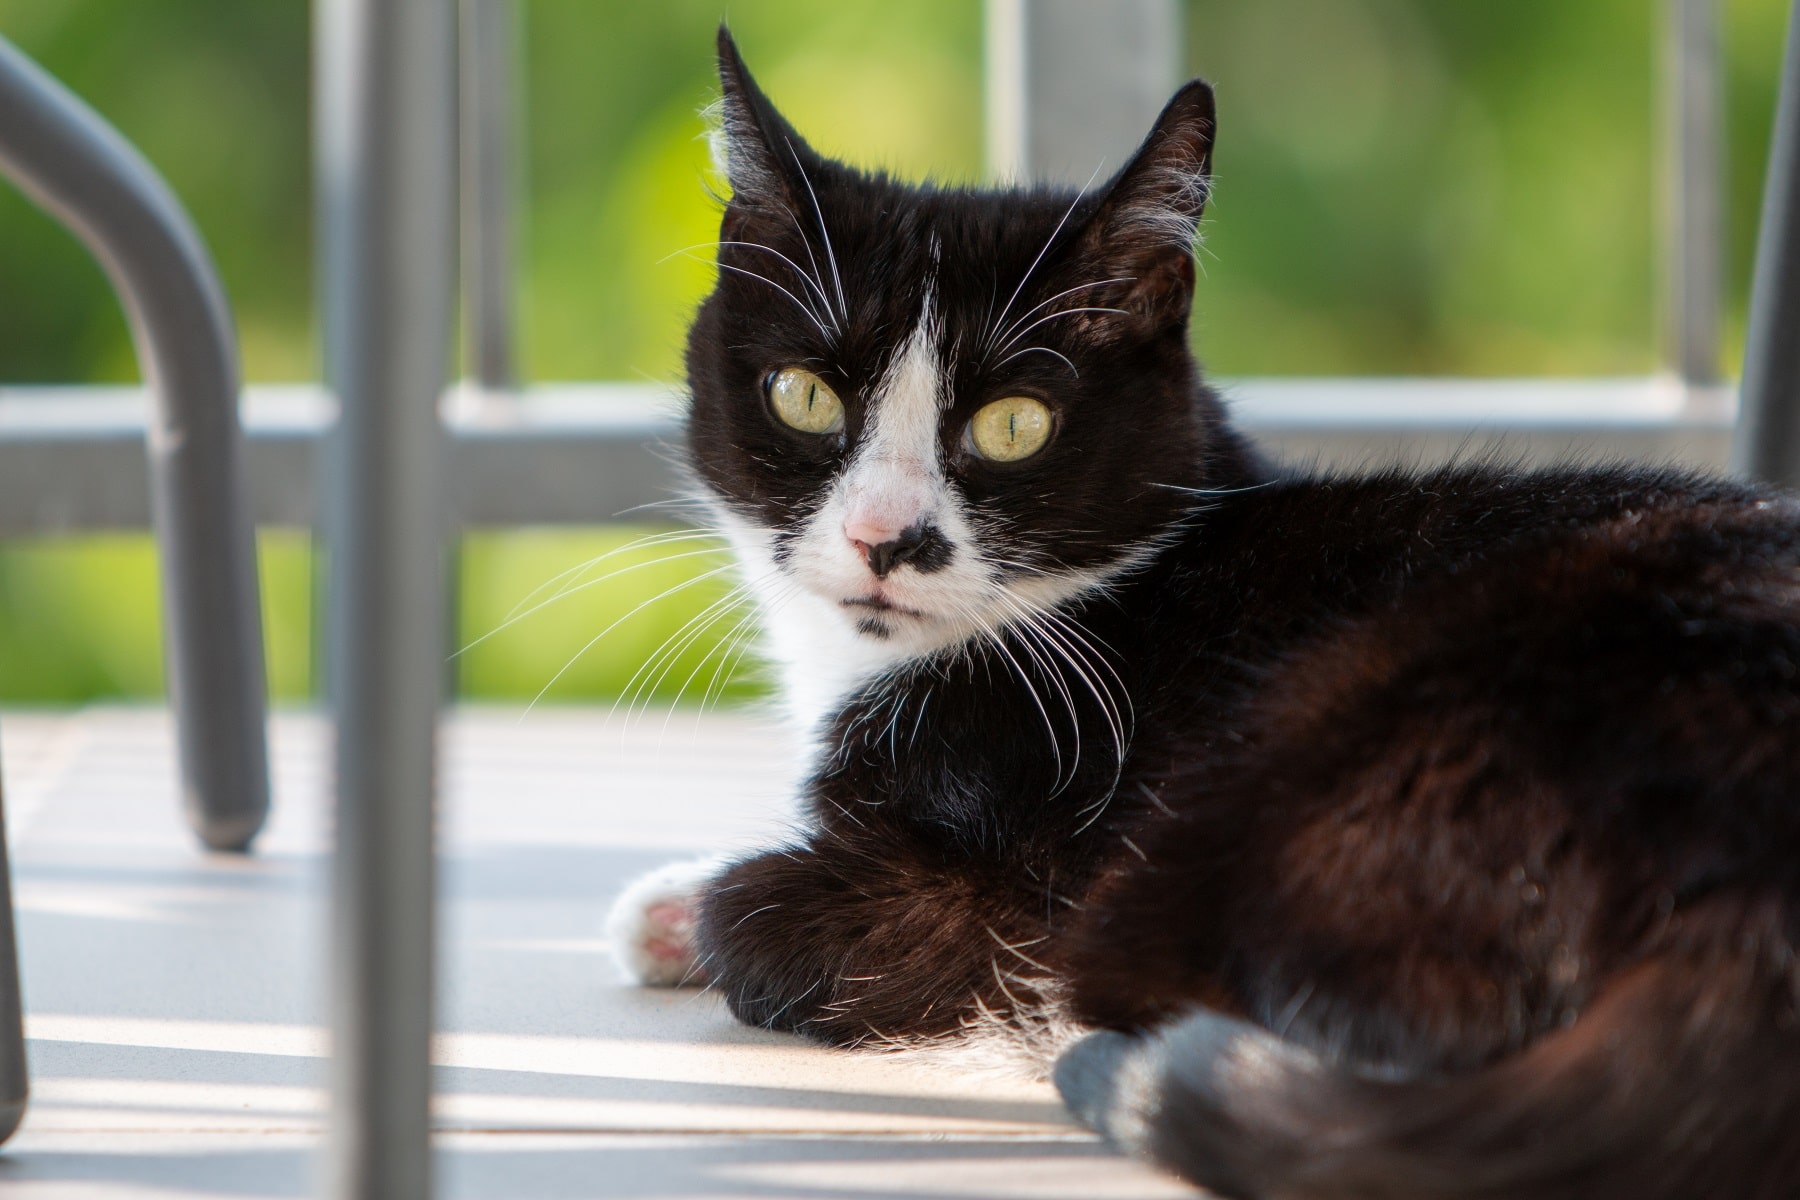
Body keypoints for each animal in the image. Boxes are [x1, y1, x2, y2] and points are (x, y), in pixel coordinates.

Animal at [608, 30, 1800, 1200]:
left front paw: (697, 908)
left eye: (1014, 425)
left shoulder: (1024, 874)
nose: (885, 538)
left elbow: (764, 917)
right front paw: (665, 904)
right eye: (806, 396)